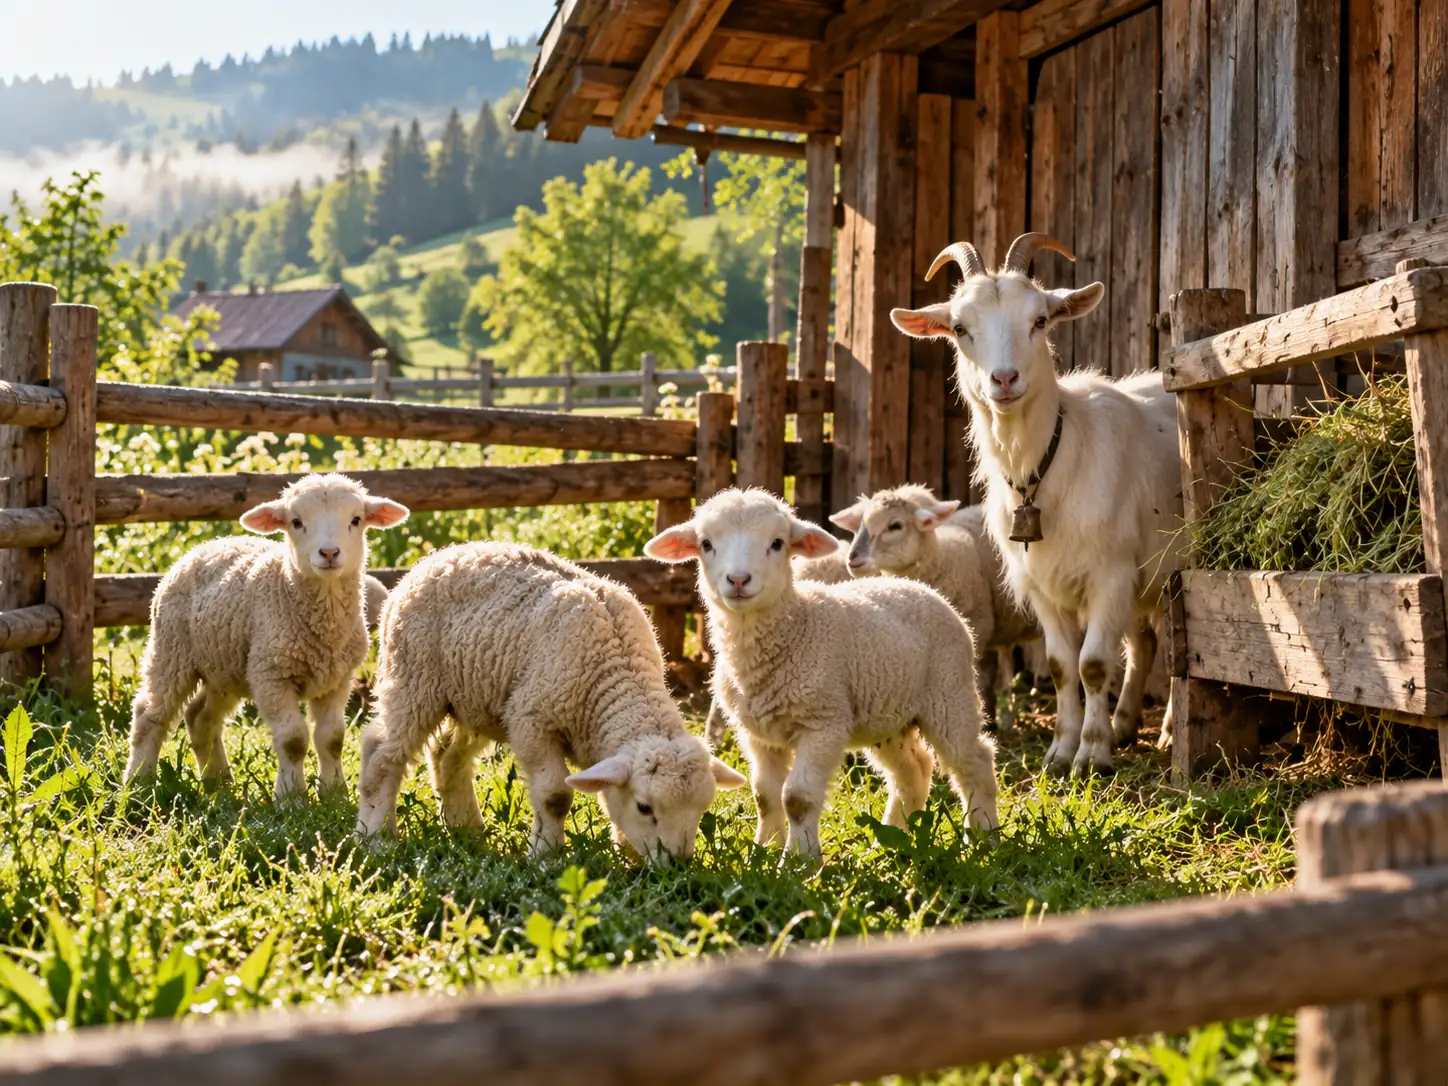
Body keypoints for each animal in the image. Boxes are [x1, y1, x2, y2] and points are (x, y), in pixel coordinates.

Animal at [123, 474, 410, 799]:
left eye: (356, 519)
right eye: (296, 522)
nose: (329, 553)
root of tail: (207, 546)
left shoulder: (337, 680)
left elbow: (332, 738)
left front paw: (334, 794)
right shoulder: (271, 675)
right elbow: (293, 740)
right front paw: (291, 798)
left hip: (225, 668)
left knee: (200, 718)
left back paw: (219, 783)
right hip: (172, 650)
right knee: (149, 714)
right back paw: (139, 781)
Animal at [354, 542, 746, 863]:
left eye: (701, 809)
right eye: (644, 807)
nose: (678, 865)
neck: (616, 675)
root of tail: (429, 560)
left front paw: (629, 856)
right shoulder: (532, 720)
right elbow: (555, 797)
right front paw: (546, 858)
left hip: (474, 697)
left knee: (448, 757)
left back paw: (468, 833)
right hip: (413, 678)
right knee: (381, 754)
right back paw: (375, 837)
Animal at [647, 488, 998, 862]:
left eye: (777, 543)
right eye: (706, 544)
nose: (738, 580)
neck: (793, 628)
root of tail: (918, 587)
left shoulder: (823, 724)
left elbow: (797, 798)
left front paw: (798, 860)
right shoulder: (757, 735)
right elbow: (764, 795)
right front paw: (764, 849)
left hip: (949, 692)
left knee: (975, 761)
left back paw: (984, 838)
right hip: (889, 718)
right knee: (913, 770)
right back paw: (890, 842)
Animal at [891, 232, 1183, 775]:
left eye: (1040, 320)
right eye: (960, 328)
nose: (1004, 380)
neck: (1048, 466)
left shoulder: (1110, 573)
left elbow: (1093, 665)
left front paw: (1091, 754)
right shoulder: (1043, 585)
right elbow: (1062, 666)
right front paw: (1062, 749)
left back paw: (1168, 728)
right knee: (1145, 643)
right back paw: (1126, 723)